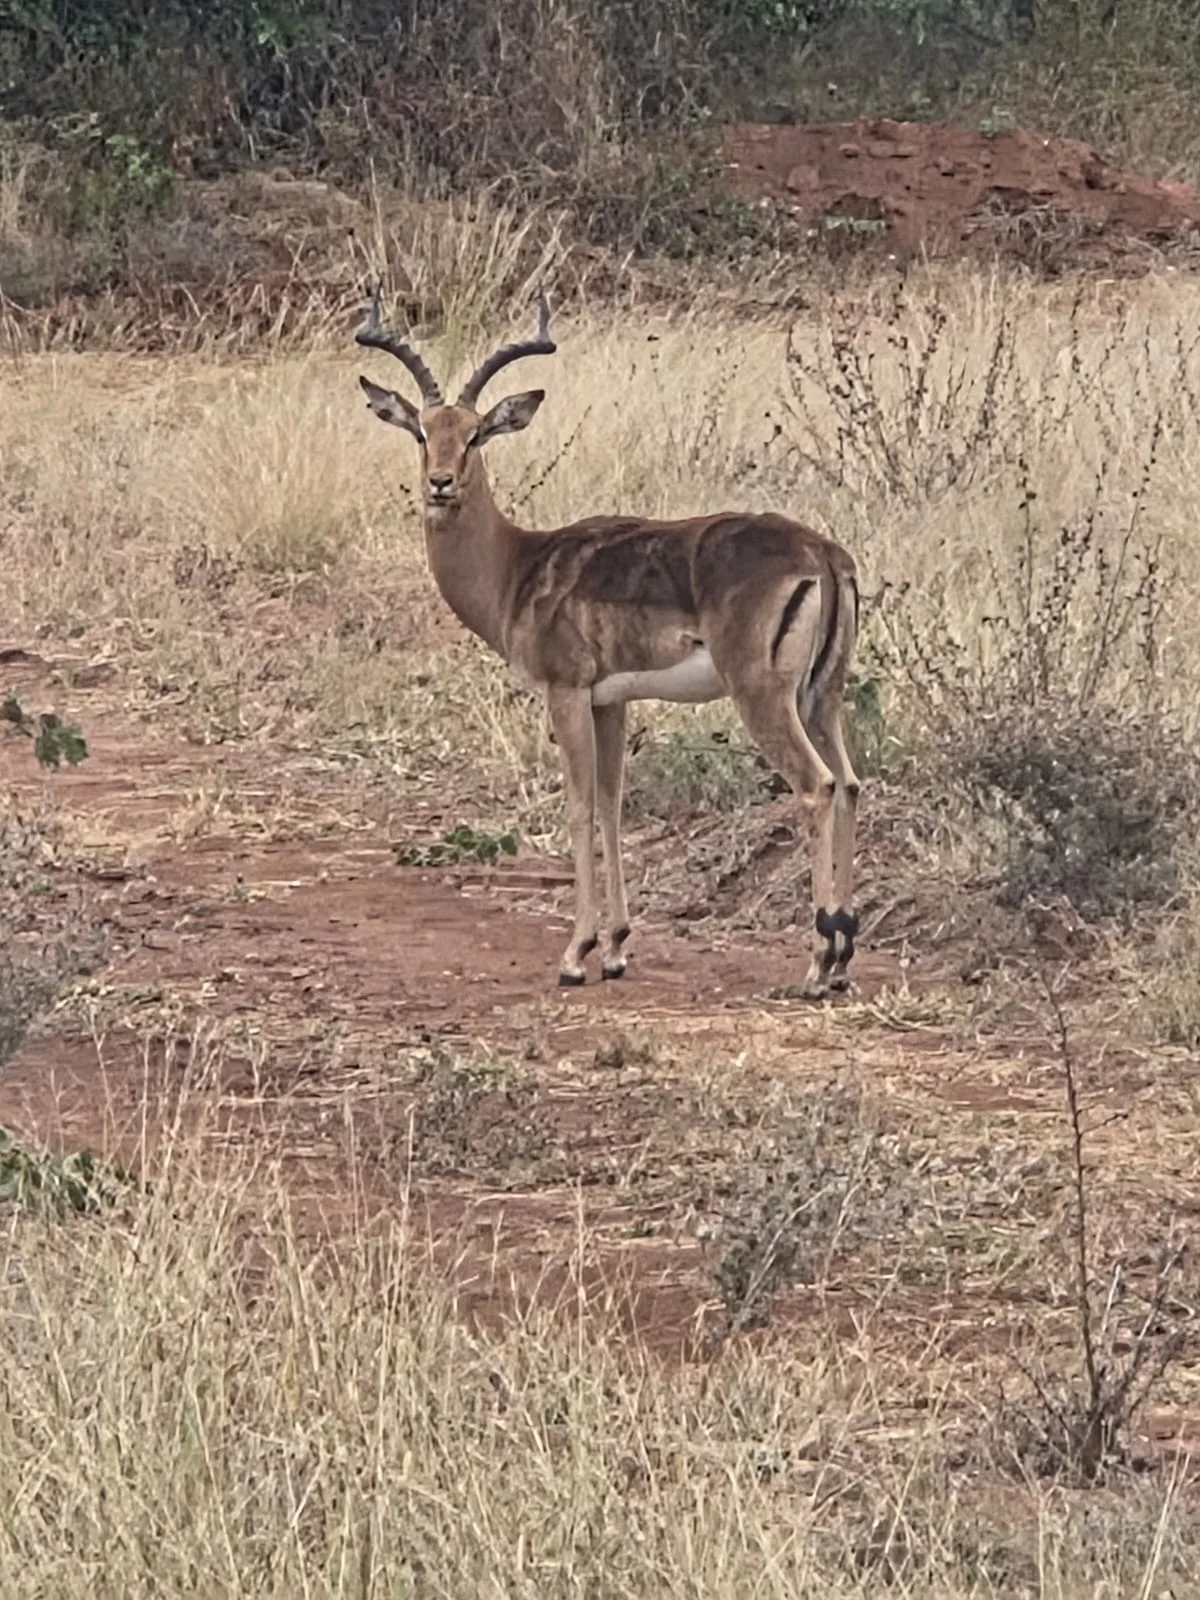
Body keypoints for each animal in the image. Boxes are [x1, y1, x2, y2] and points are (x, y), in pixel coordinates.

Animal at [356, 290, 861, 996]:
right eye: (423, 431)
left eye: (477, 433)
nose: (440, 484)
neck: (518, 567)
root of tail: (822, 554)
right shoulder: (611, 702)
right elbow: (611, 803)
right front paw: (618, 947)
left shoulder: (565, 692)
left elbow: (576, 806)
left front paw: (576, 953)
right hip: (823, 697)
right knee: (850, 784)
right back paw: (841, 956)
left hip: (763, 698)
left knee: (817, 787)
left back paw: (816, 962)